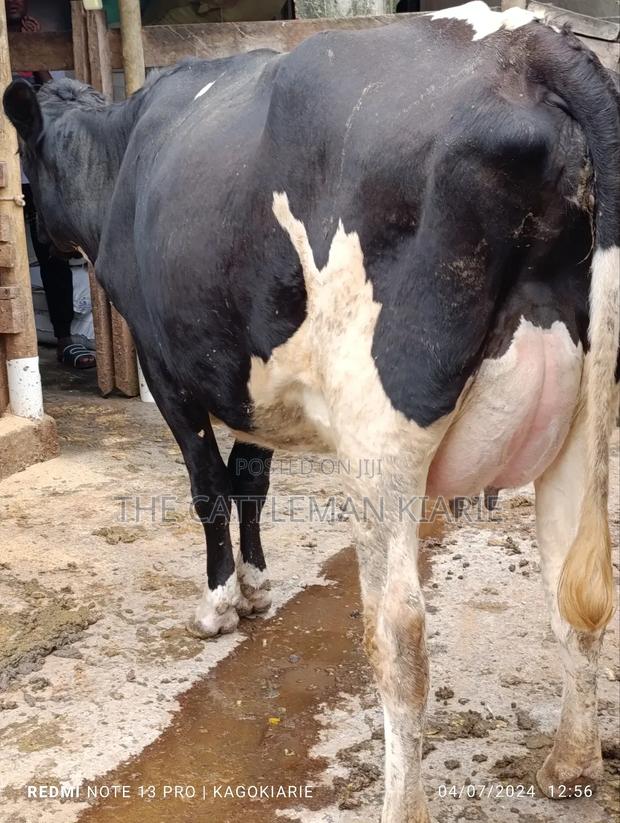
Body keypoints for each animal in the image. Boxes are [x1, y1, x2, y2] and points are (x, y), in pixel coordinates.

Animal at [4, 2, 619, 820]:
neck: (125, 153)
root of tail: (530, 43)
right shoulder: (256, 373)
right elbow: (253, 478)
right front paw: (259, 586)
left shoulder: (167, 367)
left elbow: (209, 487)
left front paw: (220, 603)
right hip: (582, 415)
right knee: (577, 590)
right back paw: (570, 764)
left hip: (380, 430)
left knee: (399, 635)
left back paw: (404, 803)